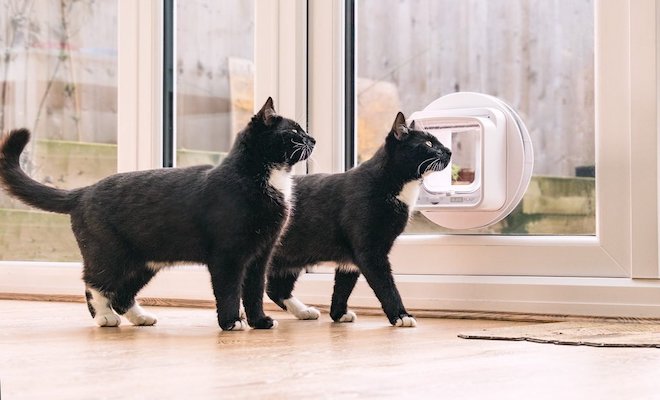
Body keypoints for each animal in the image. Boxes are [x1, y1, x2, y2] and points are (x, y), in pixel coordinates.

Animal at [0, 97, 314, 332]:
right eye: (294, 132)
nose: (312, 138)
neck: (263, 178)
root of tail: (83, 192)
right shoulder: (228, 255)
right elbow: (228, 289)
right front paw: (230, 323)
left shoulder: (260, 254)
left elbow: (254, 291)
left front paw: (260, 322)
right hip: (109, 253)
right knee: (94, 282)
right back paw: (104, 316)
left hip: (143, 261)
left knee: (122, 293)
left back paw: (140, 317)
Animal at [266, 112, 452, 328]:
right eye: (429, 143)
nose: (449, 151)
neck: (390, 185)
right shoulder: (369, 251)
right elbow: (386, 285)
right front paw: (401, 316)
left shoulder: (351, 257)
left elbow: (343, 285)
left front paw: (339, 314)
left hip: (293, 255)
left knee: (276, 289)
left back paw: (304, 311)